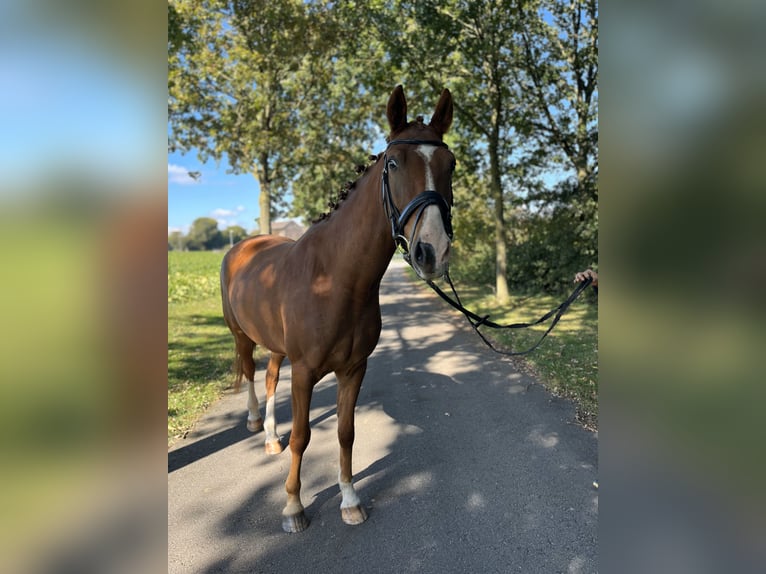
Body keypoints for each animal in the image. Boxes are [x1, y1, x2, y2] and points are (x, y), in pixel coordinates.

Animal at [219, 86, 452, 536]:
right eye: (393, 164)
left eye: (450, 165)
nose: (432, 251)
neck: (335, 279)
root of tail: (244, 244)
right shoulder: (306, 371)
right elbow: (303, 436)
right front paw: (293, 507)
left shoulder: (353, 369)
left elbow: (345, 433)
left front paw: (349, 500)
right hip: (242, 336)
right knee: (253, 375)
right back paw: (256, 424)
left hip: (277, 346)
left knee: (271, 378)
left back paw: (270, 437)